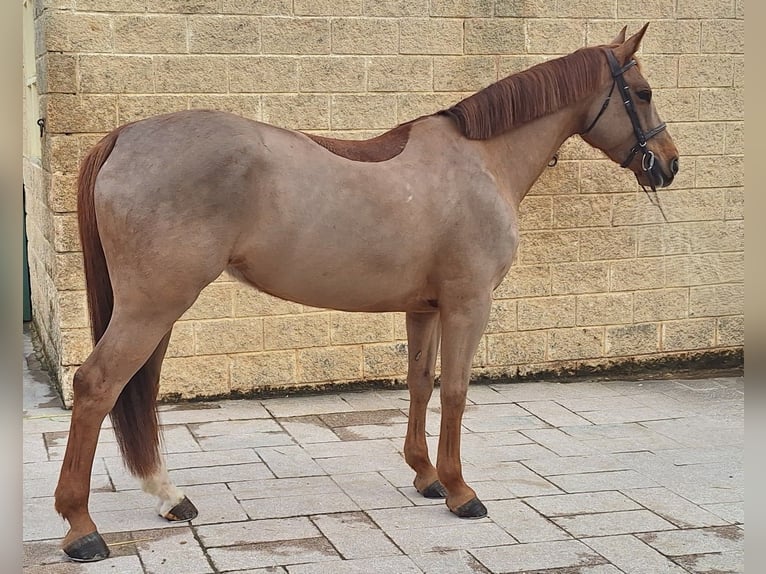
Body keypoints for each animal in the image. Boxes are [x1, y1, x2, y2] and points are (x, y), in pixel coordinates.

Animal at [54, 23, 679, 561]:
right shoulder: (468, 306)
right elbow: (456, 392)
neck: (481, 160)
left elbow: (420, 385)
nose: (669, 165)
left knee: (135, 390)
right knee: (97, 386)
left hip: (156, 308)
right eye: (642, 93)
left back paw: (169, 498)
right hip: (153, 306)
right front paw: (460, 491)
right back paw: (82, 529)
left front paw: (426, 477)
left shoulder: (424, 309)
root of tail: (125, 136)